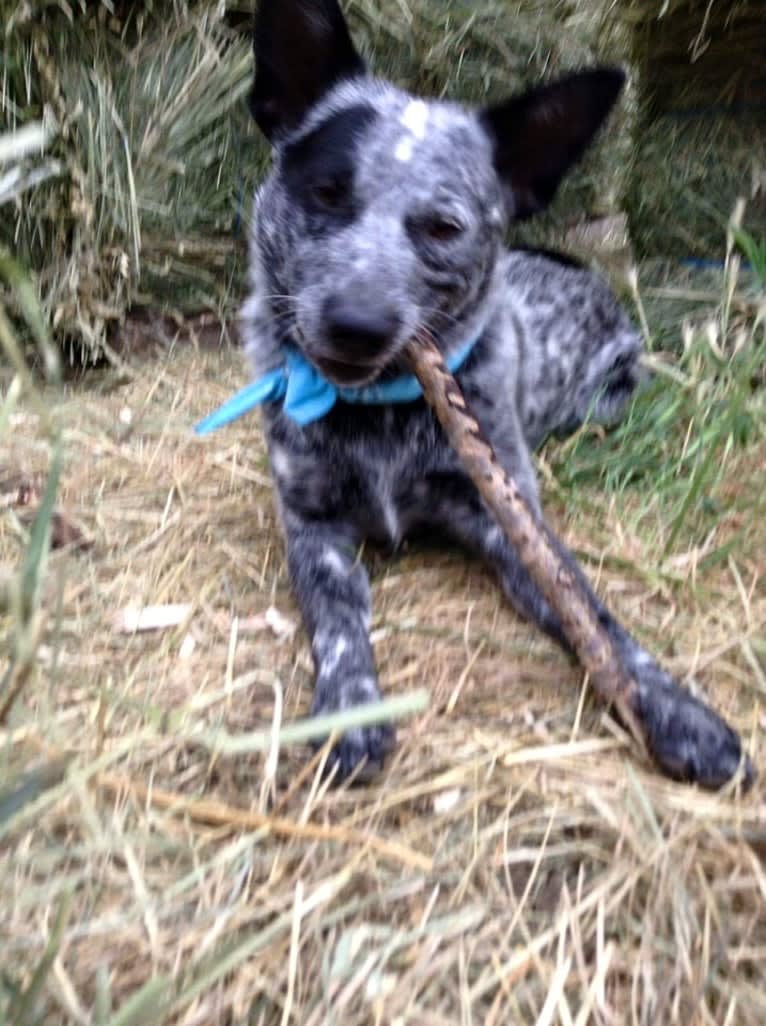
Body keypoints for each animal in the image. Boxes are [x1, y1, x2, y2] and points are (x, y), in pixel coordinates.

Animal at [214, 0, 750, 783]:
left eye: (444, 227)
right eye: (326, 192)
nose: (356, 326)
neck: (382, 412)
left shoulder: (512, 521)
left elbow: (598, 618)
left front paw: (678, 710)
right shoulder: (310, 525)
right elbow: (338, 620)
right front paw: (350, 708)